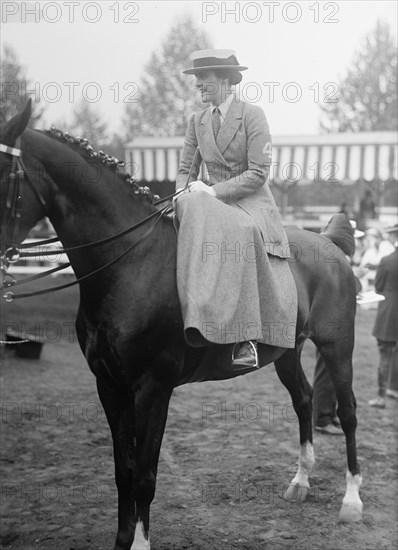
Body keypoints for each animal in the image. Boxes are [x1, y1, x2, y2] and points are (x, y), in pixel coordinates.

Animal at [0, 102, 362, 548]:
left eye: (3, 173)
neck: (130, 262)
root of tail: (328, 241)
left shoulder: (153, 389)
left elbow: (144, 475)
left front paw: (139, 542)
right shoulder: (110, 386)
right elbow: (123, 471)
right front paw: (122, 540)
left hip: (337, 346)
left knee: (348, 411)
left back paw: (351, 501)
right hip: (286, 352)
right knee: (304, 401)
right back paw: (300, 482)